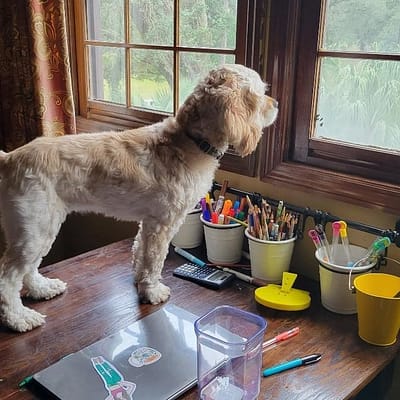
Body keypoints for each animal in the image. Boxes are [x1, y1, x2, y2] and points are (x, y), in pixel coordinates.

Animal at [0, 64, 278, 332]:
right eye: (259, 93)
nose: (275, 103)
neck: (189, 141)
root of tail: (9, 159)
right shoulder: (163, 224)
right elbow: (154, 260)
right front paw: (152, 292)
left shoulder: (149, 222)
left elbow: (140, 251)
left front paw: (139, 281)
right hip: (34, 229)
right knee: (8, 279)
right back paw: (18, 319)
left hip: (42, 227)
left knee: (28, 270)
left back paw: (41, 289)